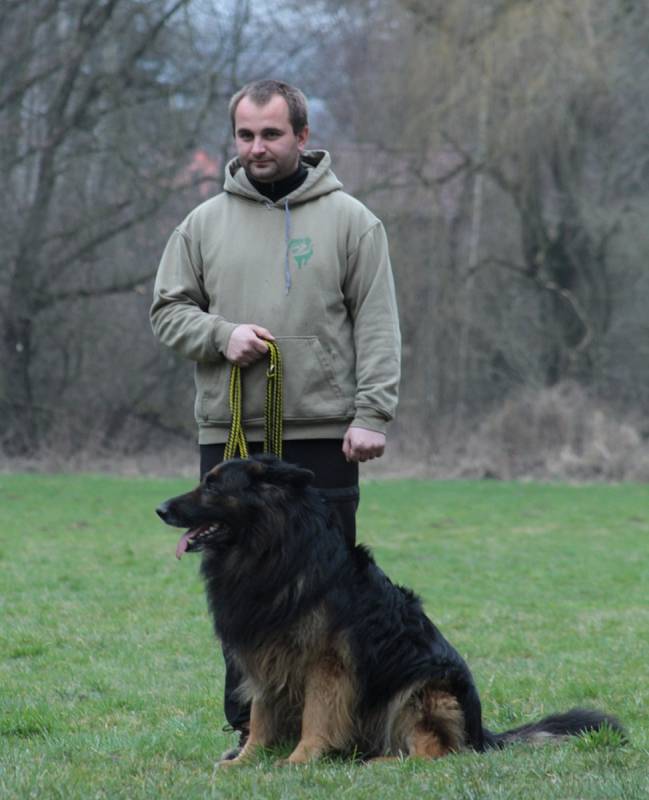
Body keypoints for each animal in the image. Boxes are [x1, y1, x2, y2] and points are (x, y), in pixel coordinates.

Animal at [157, 454, 624, 764]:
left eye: (213, 486)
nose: (160, 509)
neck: (272, 550)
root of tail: (480, 733)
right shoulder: (264, 653)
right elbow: (260, 715)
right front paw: (245, 761)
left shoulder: (328, 664)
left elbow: (316, 717)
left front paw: (298, 761)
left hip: (421, 688)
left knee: (433, 751)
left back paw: (380, 762)